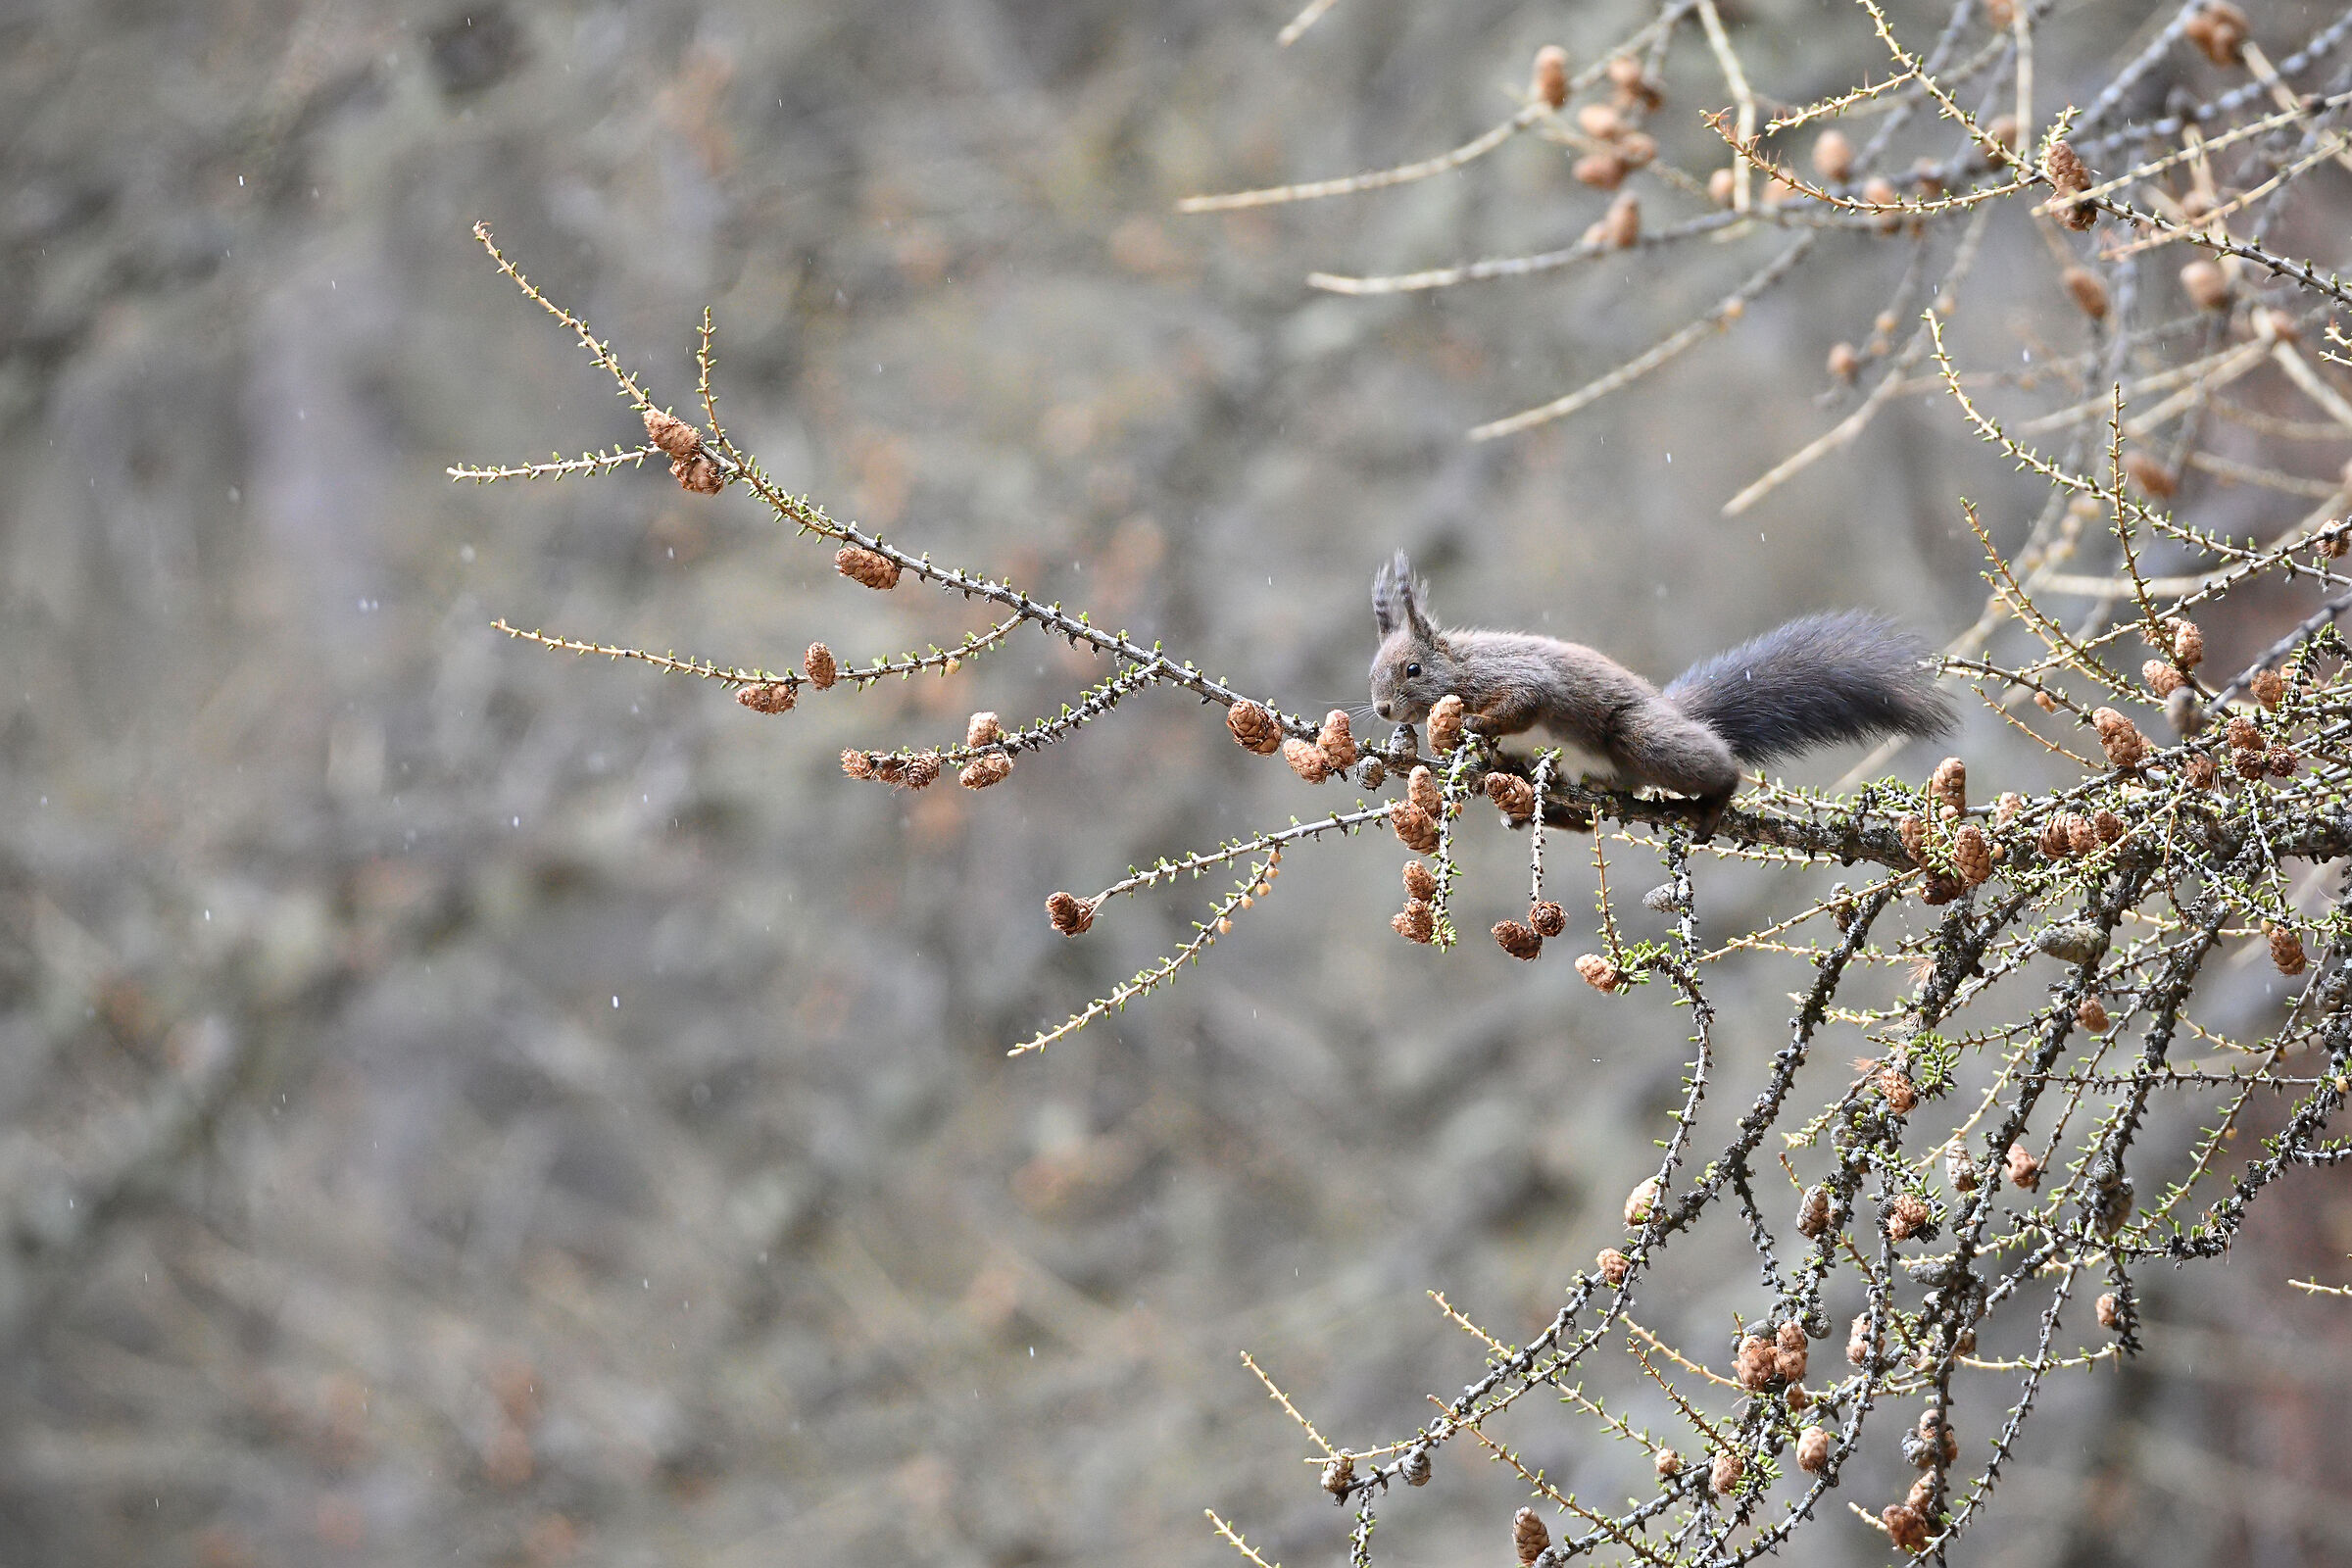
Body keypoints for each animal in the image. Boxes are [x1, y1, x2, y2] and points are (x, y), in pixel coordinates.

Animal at [1369, 552, 1953, 824]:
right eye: (1371, 674)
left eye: (1413, 671)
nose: (1381, 709)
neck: (1460, 665)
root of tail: (1674, 710)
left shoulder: (1515, 676)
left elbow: (1525, 701)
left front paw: (1474, 722)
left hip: (1638, 736)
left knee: (1716, 764)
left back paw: (1712, 803)